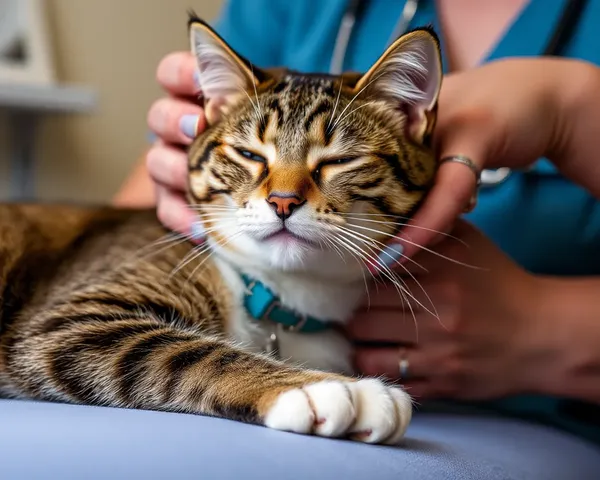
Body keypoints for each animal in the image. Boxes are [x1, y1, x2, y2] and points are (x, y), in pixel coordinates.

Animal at [0, 13, 440, 444]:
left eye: (340, 161)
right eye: (249, 154)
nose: (283, 201)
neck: (280, 294)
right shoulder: (69, 322)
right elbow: (191, 352)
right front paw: (327, 388)